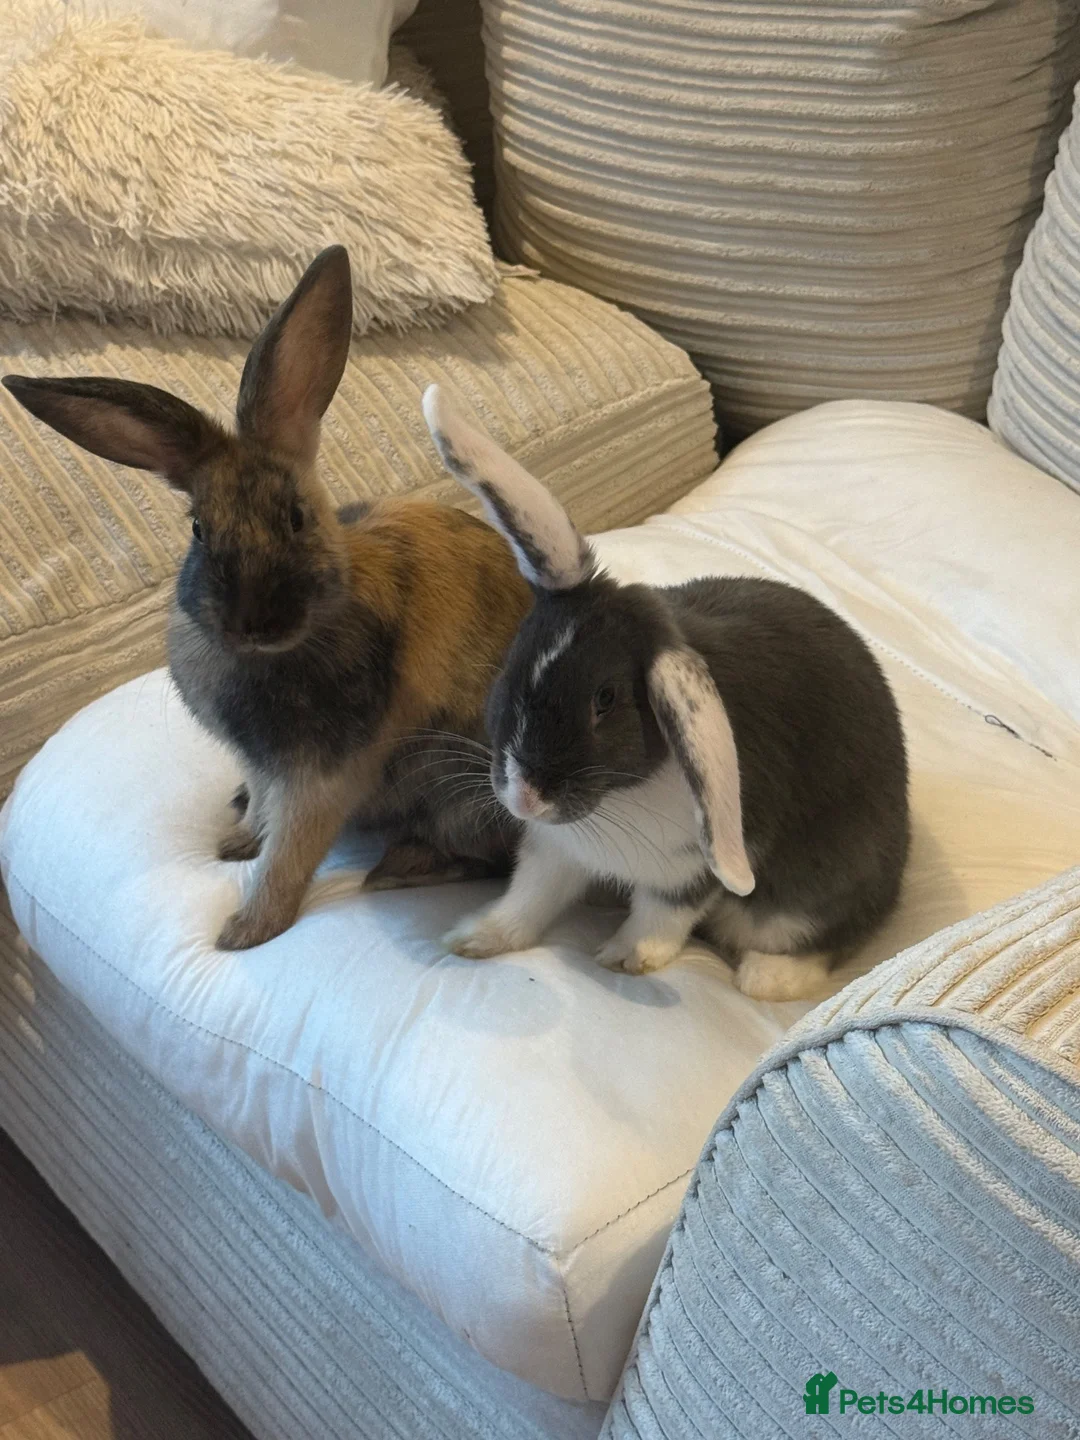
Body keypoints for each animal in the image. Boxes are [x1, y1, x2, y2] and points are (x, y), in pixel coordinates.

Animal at [2, 249, 532, 951]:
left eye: (297, 518)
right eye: (199, 529)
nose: (253, 623)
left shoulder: (325, 776)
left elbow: (291, 853)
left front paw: (245, 931)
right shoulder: (261, 765)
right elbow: (262, 811)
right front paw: (236, 845)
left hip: (463, 791)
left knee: (487, 855)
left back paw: (399, 869)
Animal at [421, 383, 910, 1001]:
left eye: (605, 700)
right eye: (513, 661)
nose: (525, 799)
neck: (618, 798)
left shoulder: (695, 870)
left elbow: (662, 915)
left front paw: (626, 959)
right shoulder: (556, 851)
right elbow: (530, 898)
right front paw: (475, 938)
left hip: (821, 886)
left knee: (827, 934)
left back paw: (767, 977)